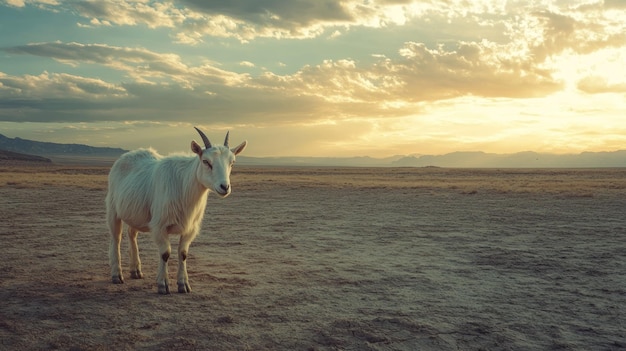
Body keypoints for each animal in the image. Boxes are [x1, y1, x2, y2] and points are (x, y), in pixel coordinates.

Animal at [106, 129, 245, 294]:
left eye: (232, 162)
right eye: (206, 161)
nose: (225, 187)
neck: (183, 184)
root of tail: (126, 156)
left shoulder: (190, 228)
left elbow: (183, 253)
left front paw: (183, 284)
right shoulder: (159, 226)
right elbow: (165, 253)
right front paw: (163, 285)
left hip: (136, 214)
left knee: (131, 234)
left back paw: (136, 271)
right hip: (113, 209)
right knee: (116, 238)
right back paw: (117, 275)